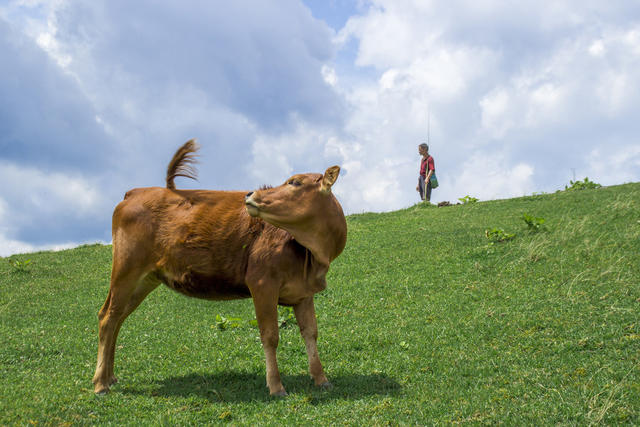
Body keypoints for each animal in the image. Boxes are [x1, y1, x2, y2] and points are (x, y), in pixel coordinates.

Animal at [91, 141, 344, 398]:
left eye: (295, 182)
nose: (251, 194)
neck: (313, 256)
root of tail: (136, 191)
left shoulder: (303, 292)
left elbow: (311, 333)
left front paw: (321, 378)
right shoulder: (262, 283)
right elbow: (270, 335)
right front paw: (276, 386)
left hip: (145, 279)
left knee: (118, 317)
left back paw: (110, 377)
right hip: (126, 269)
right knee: (108, 317)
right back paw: (100, 384)